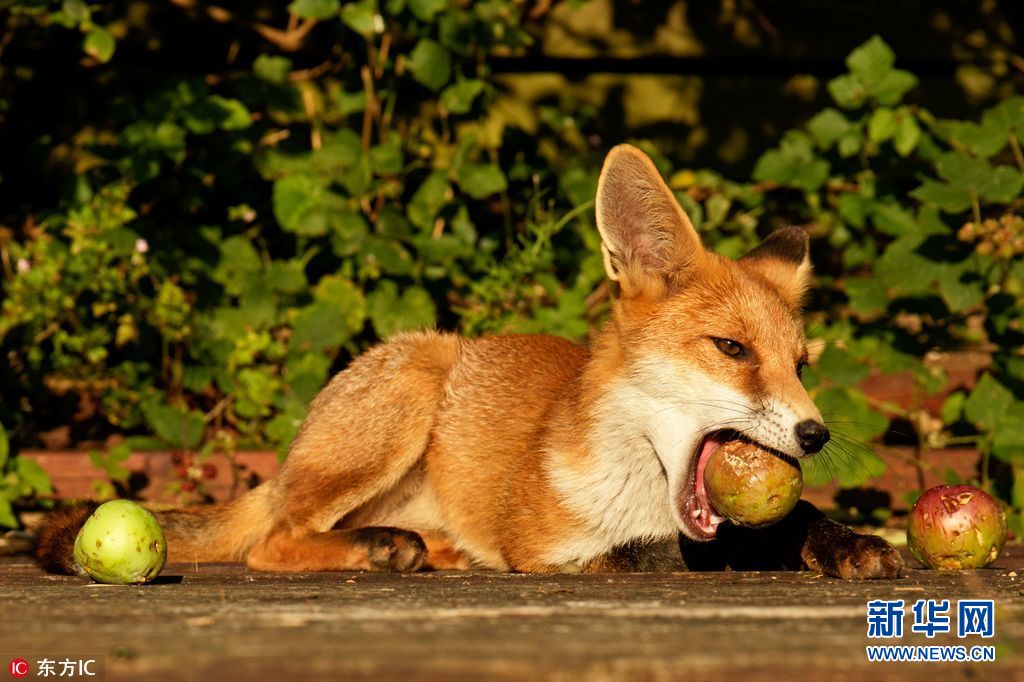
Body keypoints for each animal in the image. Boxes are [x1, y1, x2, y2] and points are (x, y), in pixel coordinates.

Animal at [34, 146, 905, 577]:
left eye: (801, 364)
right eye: (732, 349)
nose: (817, 435)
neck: (637, 486)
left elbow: (792, 520)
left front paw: (845, 541)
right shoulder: (558, 553)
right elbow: (691, 552)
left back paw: (430, 548)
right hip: (411, 382)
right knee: (270, 544)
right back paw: (377, 550)